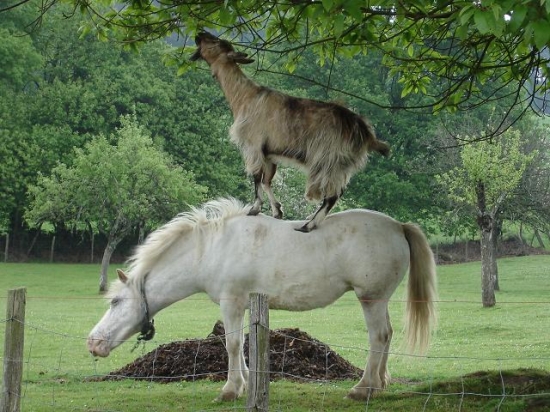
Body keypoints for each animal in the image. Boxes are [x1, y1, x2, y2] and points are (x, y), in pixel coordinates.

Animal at [87, 198, 440, 400]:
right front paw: (245, 384)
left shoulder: (231, 302)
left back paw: (364, 387)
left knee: (378, 336)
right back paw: (380, 383)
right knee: (387, 335)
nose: (93, 342)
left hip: (371, 299)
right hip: (378, 300)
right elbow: (240, 345)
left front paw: (230, 390)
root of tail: (398, 226)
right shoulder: (243, 305)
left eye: (115, 302)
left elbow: (231, 344)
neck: (213, 249)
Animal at [192, 31, 390, 232]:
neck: (245, 96)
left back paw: (308, 225)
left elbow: (256, 177)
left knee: (332, 195)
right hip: (341, 166)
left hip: (329, 161)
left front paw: (254, 209)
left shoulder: (253, 146)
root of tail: (366, 134)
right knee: (336, 192)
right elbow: (266, 180)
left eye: (215, 42)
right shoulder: (269, 153)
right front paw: (277, 211)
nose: (199, 34)